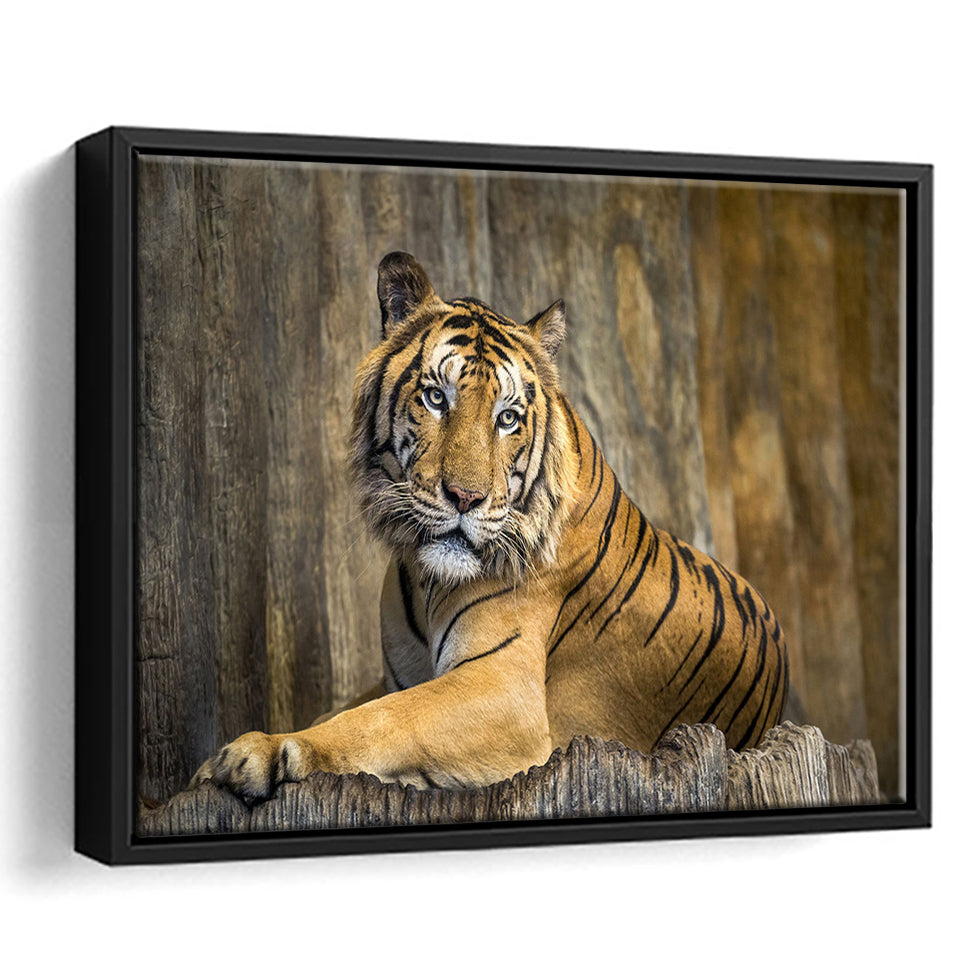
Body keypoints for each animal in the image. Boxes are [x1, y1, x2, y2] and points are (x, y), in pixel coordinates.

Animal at [191, 251, 788, 799]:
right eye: (436, 397)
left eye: (508, 418)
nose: (465, 497)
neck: (427, 584)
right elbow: (352, 707)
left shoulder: (502, 689)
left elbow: (386, 717)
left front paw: (263, 751)